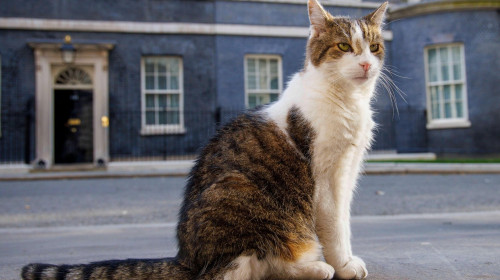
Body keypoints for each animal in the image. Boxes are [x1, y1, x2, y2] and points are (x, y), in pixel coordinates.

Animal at [22, 1, 386, 278]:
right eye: (344, 46)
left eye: (374, 47)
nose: (367, 64)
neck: (347, 101)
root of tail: (186, 259)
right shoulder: (327, 176)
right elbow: (335, 226)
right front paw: (344, 265)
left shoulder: (349, 170)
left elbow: (343, 221)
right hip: (242, 198)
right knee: (246, 268)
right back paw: (316, 268)